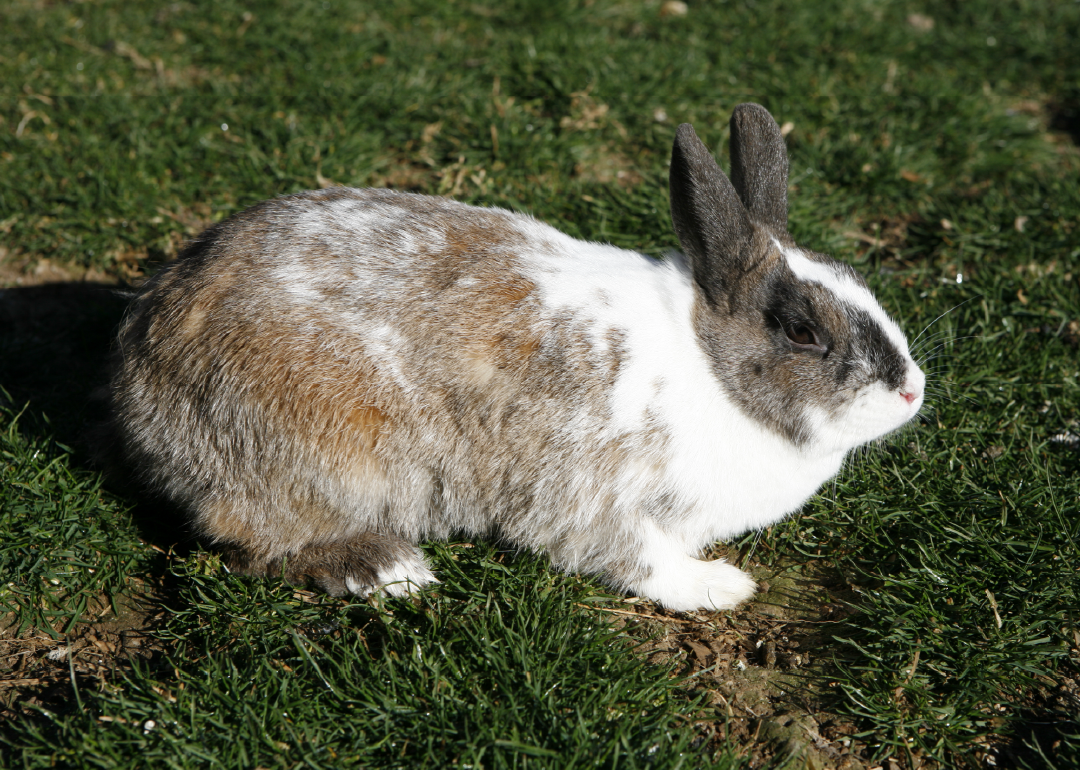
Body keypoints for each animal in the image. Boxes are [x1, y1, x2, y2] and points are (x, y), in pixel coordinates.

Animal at [108, 103, 925, 612]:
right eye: (801, 332)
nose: (912, 391)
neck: (707, 363)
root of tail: (143, 360)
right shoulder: (596, 498)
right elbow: (639, 561)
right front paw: (720, 588)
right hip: (319, 458)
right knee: (250, 541)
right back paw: (386, 569)